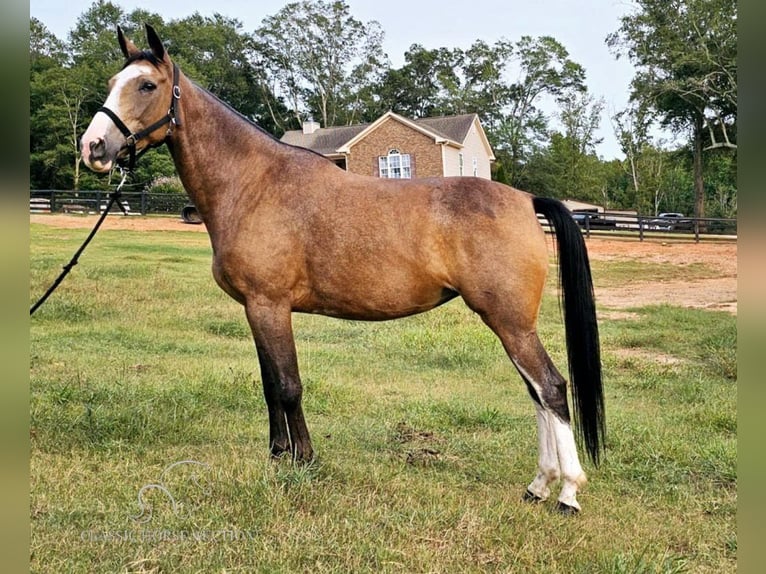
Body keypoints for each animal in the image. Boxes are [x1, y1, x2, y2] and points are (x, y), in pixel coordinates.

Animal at [79, 27, 608, 516]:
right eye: (111, 82)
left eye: (147, 85)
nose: (93, 147)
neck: (253, 184)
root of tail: (525, 199)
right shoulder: (256, 309)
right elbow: (270, 386)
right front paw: (277, 455)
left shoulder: (270, 306)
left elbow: (288, 385)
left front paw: (304, 460)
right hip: (509, 323)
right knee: (536, 393)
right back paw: (538, 486)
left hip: (510, 321)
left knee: (551, 389)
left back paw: (566, 492)